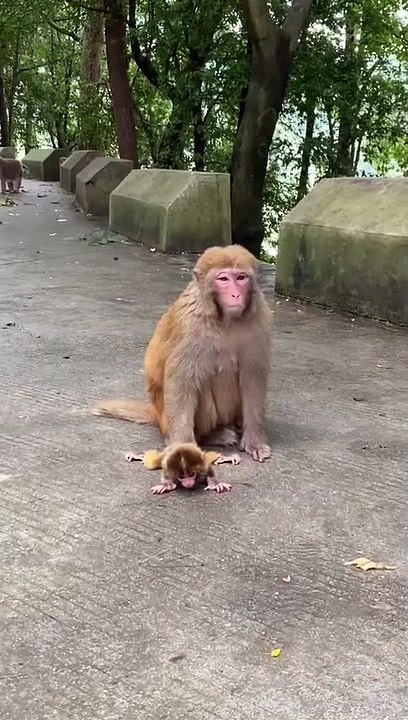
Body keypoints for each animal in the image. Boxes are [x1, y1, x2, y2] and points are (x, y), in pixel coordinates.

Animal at [94, 244, 273, 462]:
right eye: (223, 279)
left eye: (241, 278)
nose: (235, 295)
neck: (225, 320)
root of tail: (157, 415)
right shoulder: (190, 328)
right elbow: (181, 382)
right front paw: (183, 445)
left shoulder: (259, 320)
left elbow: (252, 378)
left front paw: (254, 441)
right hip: (168, 421)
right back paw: (213, 435)